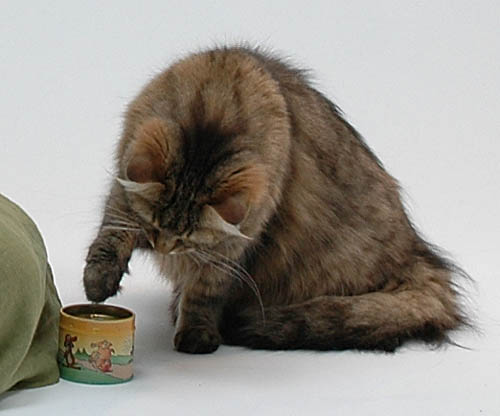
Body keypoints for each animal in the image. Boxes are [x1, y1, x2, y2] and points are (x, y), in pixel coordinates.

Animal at [83, 46, 468, 354]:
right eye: (154, 225)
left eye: (188, 238)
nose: (162, 248)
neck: (215, 108)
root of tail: (419, 257)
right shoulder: (121, 200)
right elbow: (108, 240)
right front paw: (97, 285)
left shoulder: (232, 250)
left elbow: (204, 293)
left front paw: (196, 335)